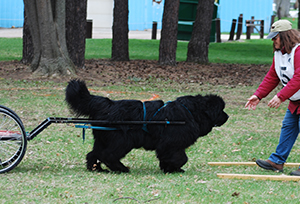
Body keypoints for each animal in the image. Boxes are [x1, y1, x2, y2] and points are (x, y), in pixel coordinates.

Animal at [65, 79, 227, 174]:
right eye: (221, 110)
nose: (228, 116)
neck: (192, 112)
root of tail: (107, 104)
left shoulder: (169, 146)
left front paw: (170, 169)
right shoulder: (171, 144)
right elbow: (180, 157)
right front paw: (175, 167)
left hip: (103, 139)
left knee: (93, 154)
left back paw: (96, 168)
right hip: (122, 140)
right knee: (108, 155)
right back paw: (121, 168)